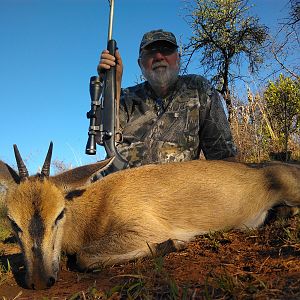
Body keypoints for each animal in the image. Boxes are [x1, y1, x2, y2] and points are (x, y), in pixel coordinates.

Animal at [0, 144, 300, 290]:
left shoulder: (144, 230)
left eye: (59, 214)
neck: (97, 205)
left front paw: (175, 243)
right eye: (13, 222)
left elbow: (83, 257)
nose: (40, 281)